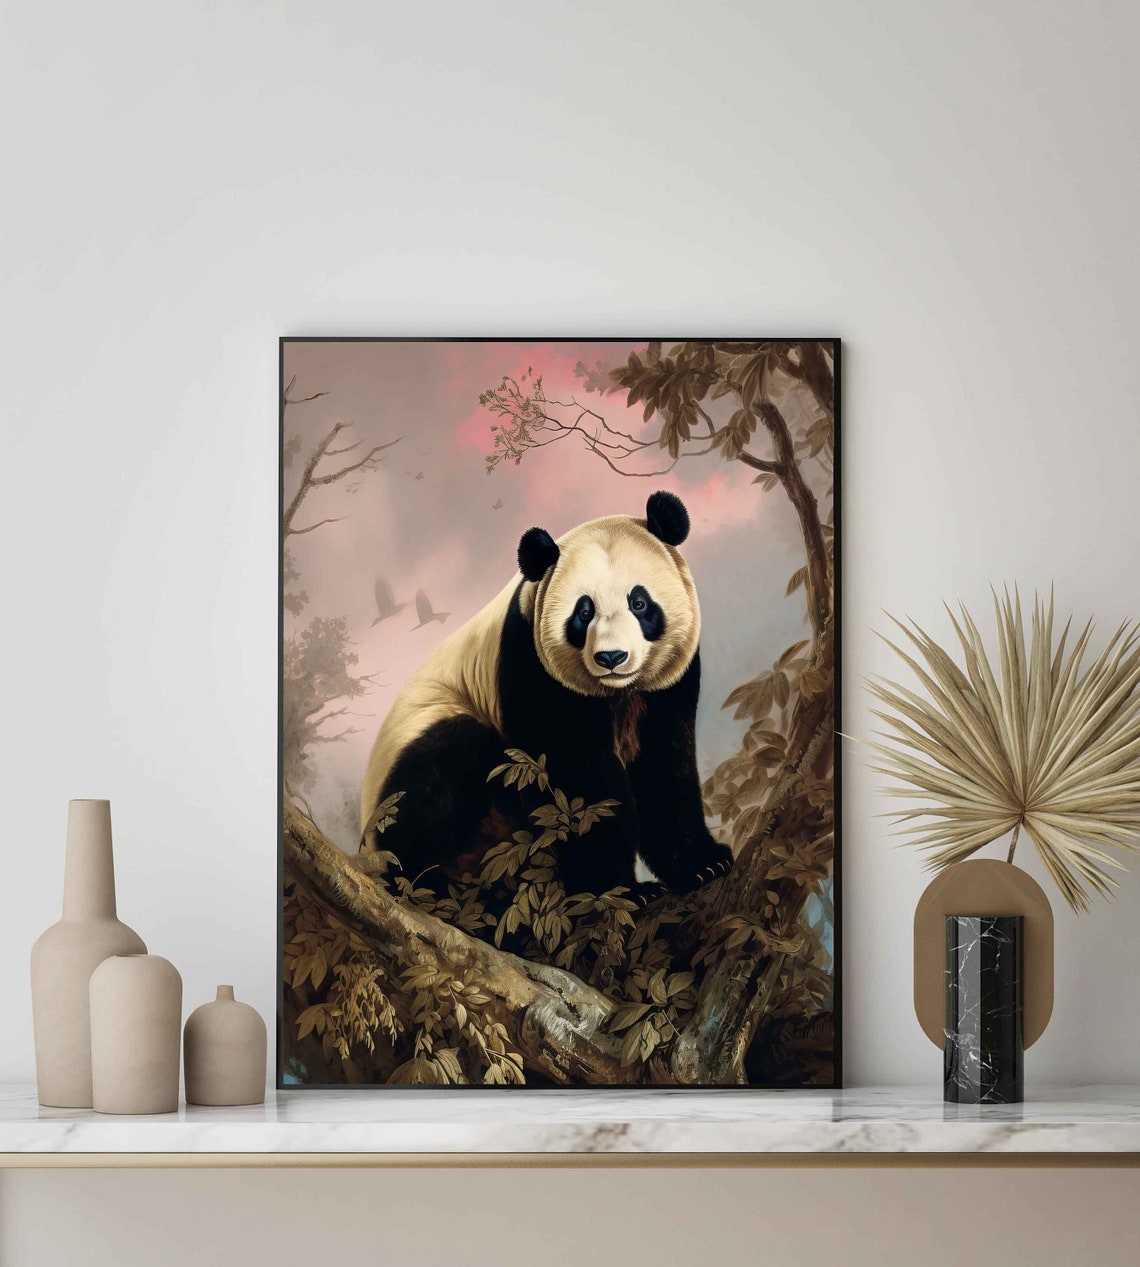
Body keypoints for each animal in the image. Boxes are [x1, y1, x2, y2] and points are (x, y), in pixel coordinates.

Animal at [359, 490, 734, 901]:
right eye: (583, 612)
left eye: (639, 603)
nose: (612, 657)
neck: (615, 692)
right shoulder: (532, 666)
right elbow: (576, 782)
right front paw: (617, 891)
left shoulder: (668, 684)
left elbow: (663, 764)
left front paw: (703, 864)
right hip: (408, 778)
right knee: (439, 777)